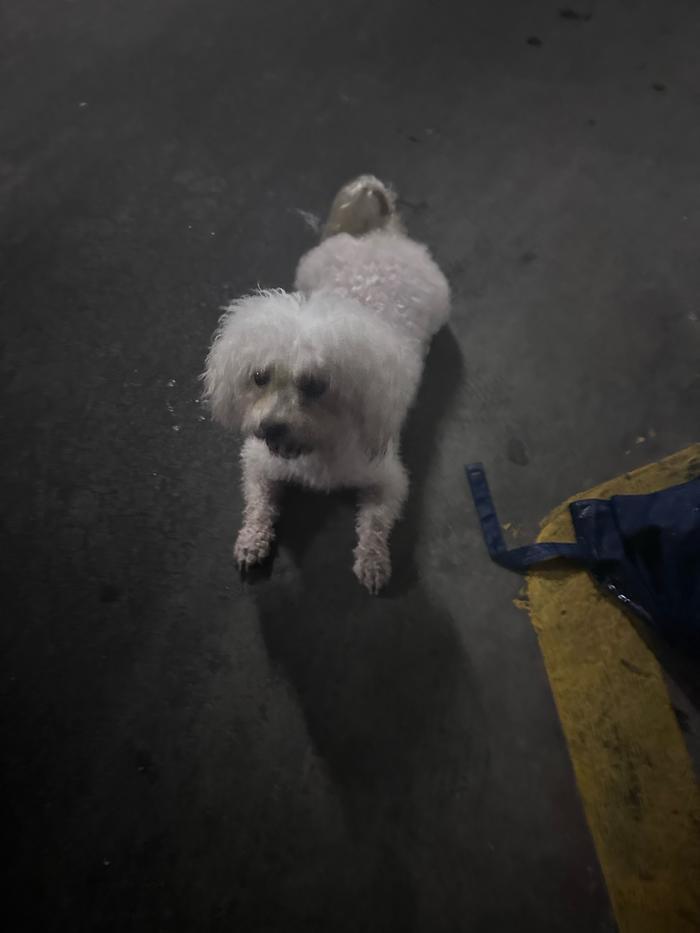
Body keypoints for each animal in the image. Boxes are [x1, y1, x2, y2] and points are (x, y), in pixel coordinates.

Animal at [203, 175, 450, 593]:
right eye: (259, 377)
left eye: (315, 385)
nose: (270, 427)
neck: (312, 448)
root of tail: (382, 236)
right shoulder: (258, 464)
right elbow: (258, 505)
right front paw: (252, 541)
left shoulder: (387, 479)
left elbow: (374, 523)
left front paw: (372, 561)